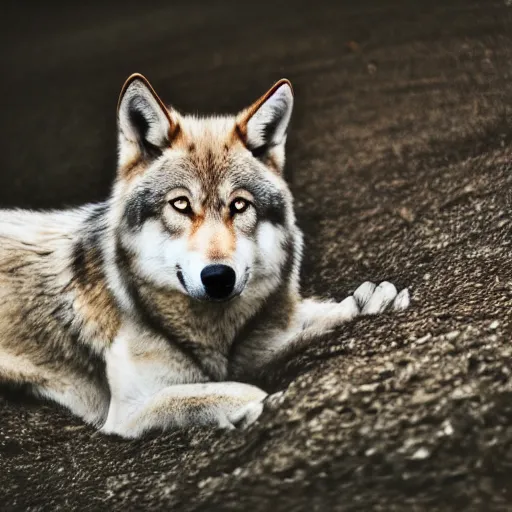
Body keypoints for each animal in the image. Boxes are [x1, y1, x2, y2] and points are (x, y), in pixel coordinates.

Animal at [0, 74, 410, 438]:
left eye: (239, 205)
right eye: (181, 204)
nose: (218, 277)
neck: (211, 335)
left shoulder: (261, 337)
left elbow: (312, 318)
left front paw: (368, 303)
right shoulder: (128, 414)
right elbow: (200, 394)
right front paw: (255, 402)